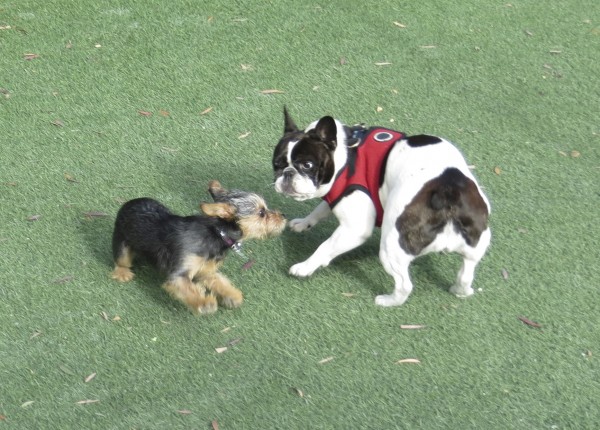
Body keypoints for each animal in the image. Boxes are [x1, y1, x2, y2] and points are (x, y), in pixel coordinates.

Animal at [111, 180, 288, 314]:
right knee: (121, 260)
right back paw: (122, 273)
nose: (283, 216)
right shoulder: (179, 275)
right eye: (262, 213)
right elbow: (189, 289)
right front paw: (204, 303)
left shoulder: (206, 271)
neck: (216, 234)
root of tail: (129, 203)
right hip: (122, 243)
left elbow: (220, 281)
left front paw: (232, 296)